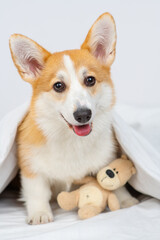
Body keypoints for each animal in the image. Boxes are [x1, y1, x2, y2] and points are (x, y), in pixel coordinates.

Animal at [9, 13, 138, 224]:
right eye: (58, 86)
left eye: (90, 80)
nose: (83, 114)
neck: (72, 140)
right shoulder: (31, 169)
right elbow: (37, 192)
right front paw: (39, 213)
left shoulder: (107, 158)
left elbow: (115, 183)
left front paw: (126, 201)